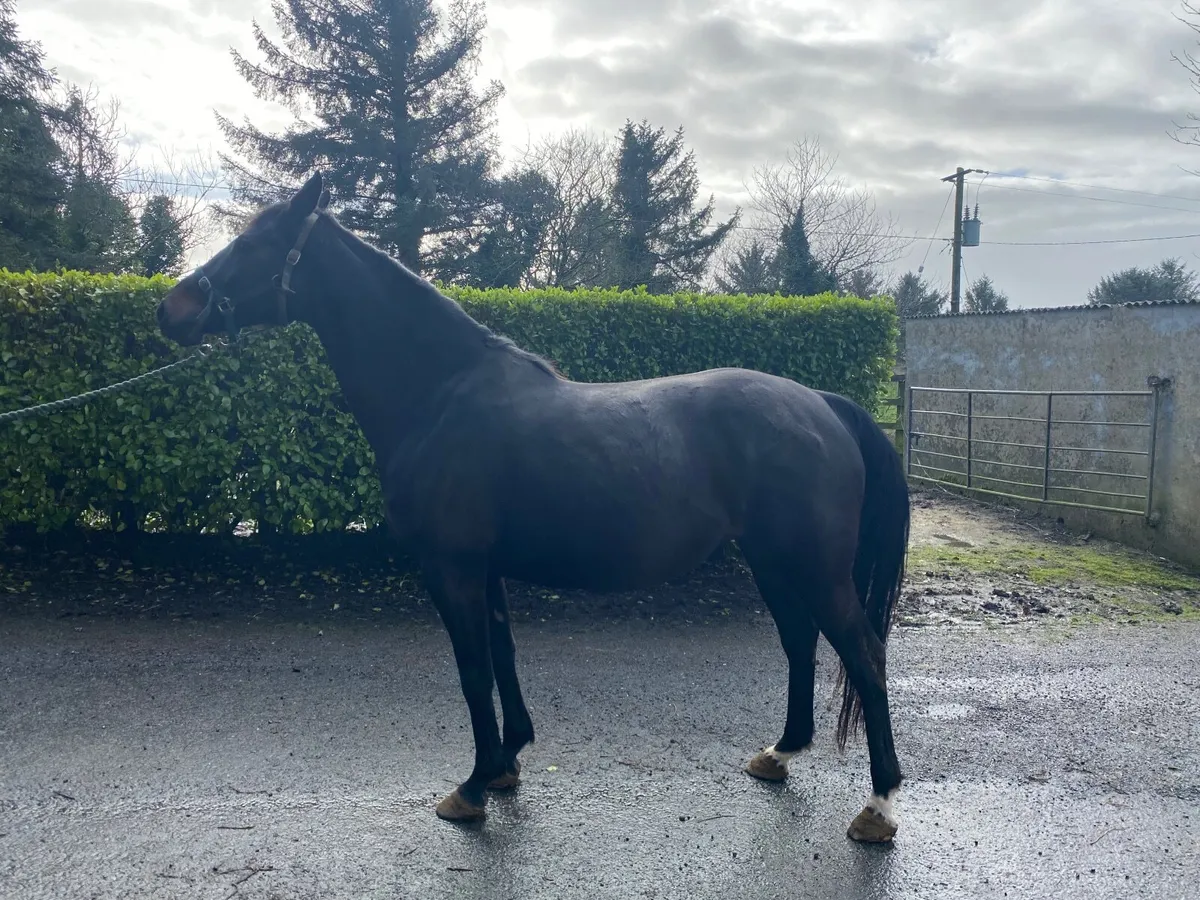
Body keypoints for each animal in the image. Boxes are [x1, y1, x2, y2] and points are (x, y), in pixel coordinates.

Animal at [156, 172, 911, 843]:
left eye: (255, 243)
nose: (172, 309)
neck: (440, 394)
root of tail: (825, 405)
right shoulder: (485, 568)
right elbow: (503, 657)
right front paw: (504, 764)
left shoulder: (451, 567)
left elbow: (472, 671)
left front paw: (470, 789)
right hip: (771, 562)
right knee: (800, 641)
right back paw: (780, 754)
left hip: (813, 568)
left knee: (864, 653)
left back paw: (879, 805)